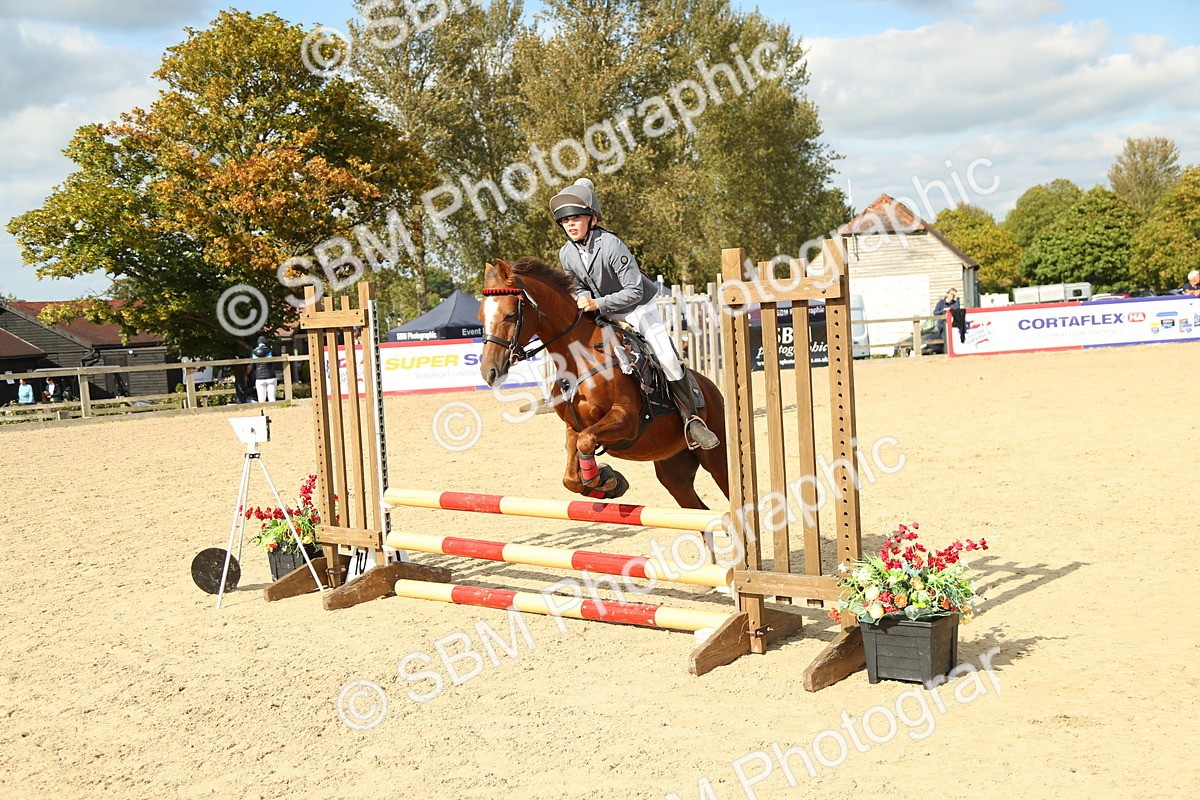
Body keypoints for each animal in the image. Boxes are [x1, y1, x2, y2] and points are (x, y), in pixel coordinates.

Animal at [477, 257, 729, 509]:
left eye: (510, 314)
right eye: (480, 317)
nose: (489, 372)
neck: (579, 359)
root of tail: (712, 389)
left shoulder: (625, 420)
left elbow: (586, 442)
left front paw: (606, 479)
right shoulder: (573, 428)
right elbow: (571, 477)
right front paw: (609, 482)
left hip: (717, 459)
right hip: (673, 470)